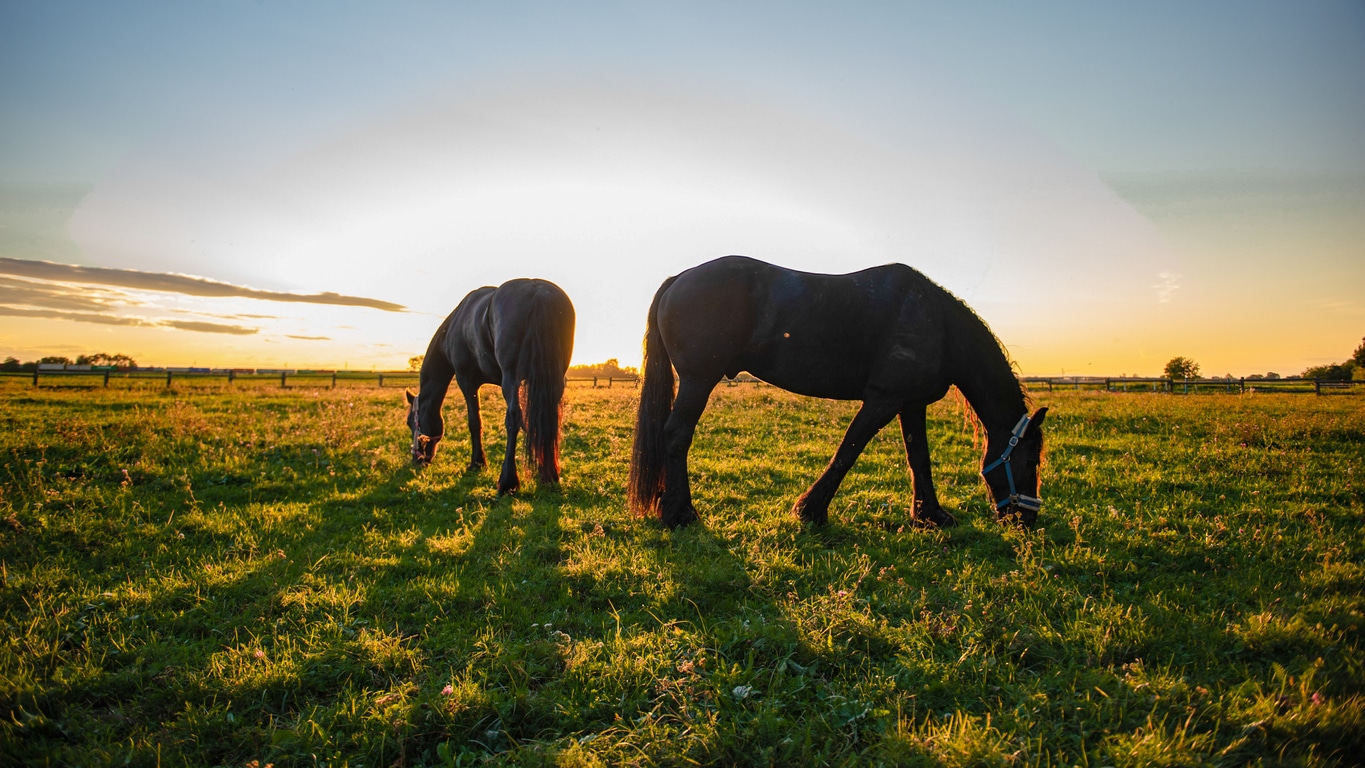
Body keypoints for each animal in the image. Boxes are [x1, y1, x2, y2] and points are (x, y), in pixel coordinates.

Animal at [404, 279, 576, 496]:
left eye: (410, 422)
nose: (418, 459)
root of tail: (538, 292)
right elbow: (532, 424)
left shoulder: (467, 381)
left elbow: (475, 422)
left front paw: (477, 463)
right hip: (553, 379)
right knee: (549, 419)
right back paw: (550, 475)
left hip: (511, 378)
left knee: (513, 418)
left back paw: (507, 482)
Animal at [625, 256, 1042, 529]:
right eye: (1031, 460)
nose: (1027, 517)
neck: (937, 324)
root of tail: (679, 277)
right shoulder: (883, 399)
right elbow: (848, 451)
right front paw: (810, 510)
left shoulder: (911, 404)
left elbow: (919, 459)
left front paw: (931, 515)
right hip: (698, 380)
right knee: (676, 435)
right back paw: (680, 514)